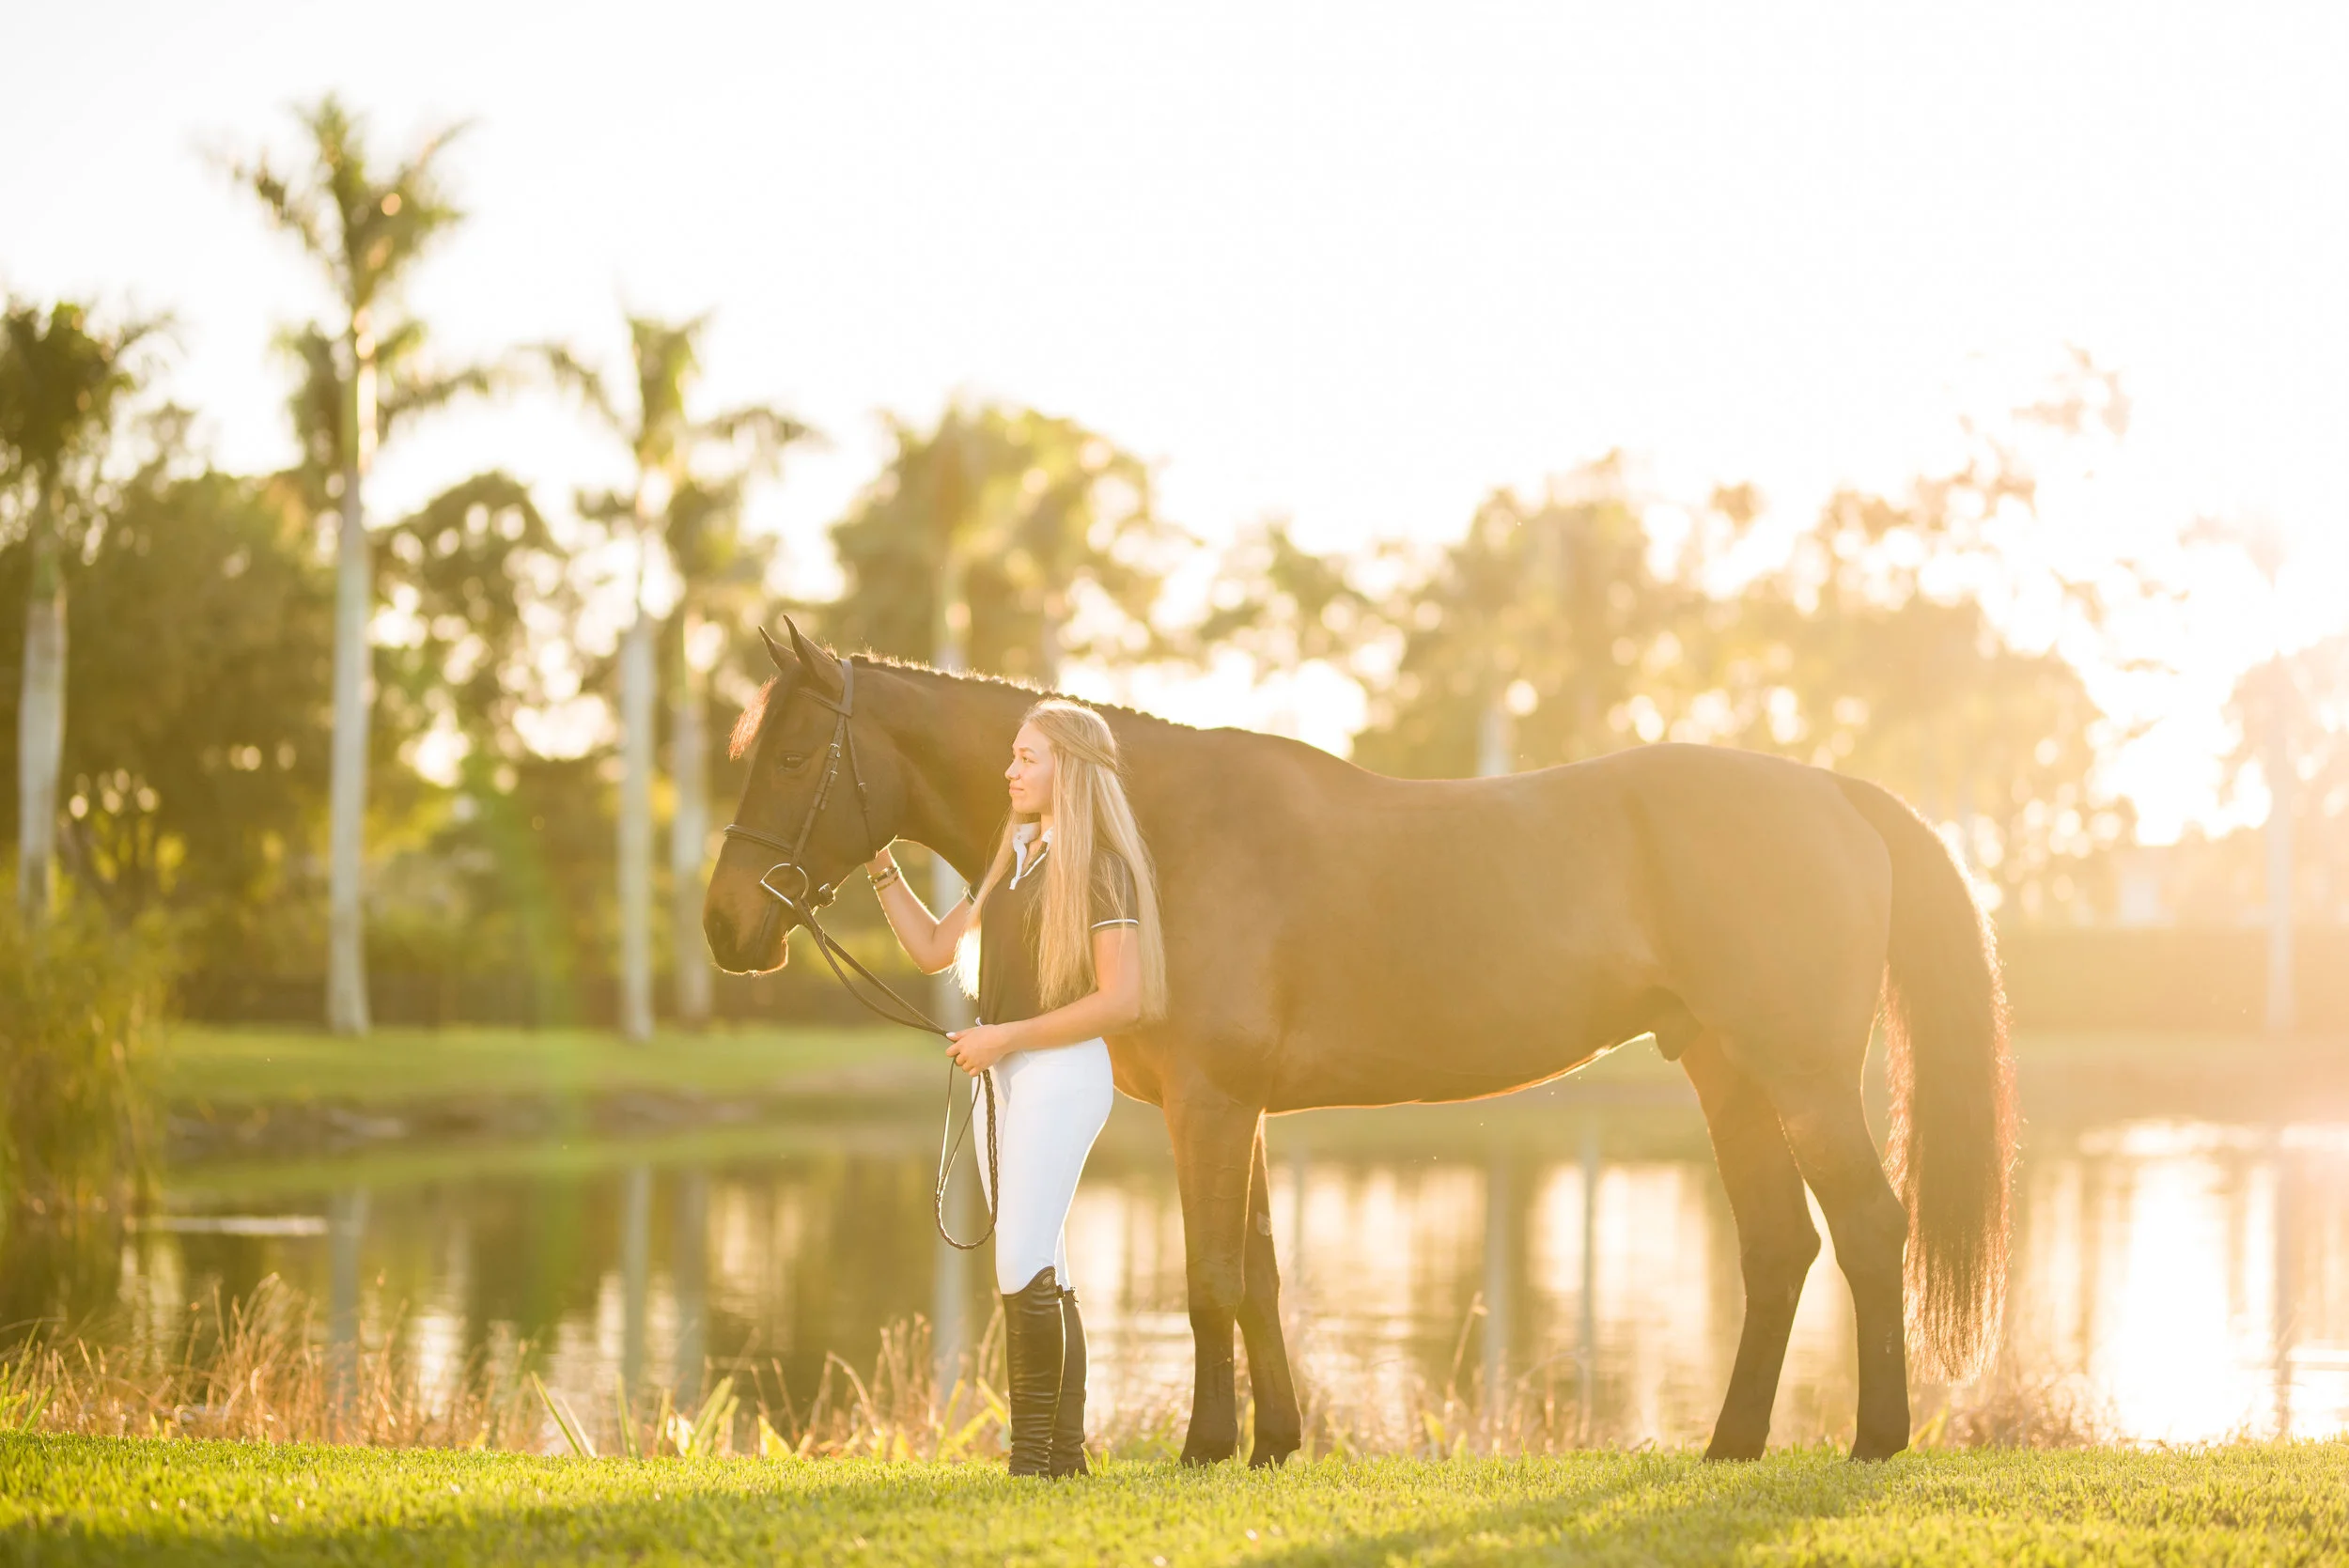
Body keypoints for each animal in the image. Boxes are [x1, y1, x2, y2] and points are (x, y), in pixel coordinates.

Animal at [703, 618, 2016, 1464]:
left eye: (791, 754)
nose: (725, 925)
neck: (1155, 831)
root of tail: (1834, 790)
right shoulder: (1235, 1111)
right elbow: (1262, 1273)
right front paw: (1276, 1443)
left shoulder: (1212, 1105)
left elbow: (1212, 1278)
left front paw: (1207, 1444)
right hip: (1725, 1072)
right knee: (1779, 1247)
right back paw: (1731, 1445)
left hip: (1799, 1076)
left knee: (1868, 1227)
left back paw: (1874, 1440)